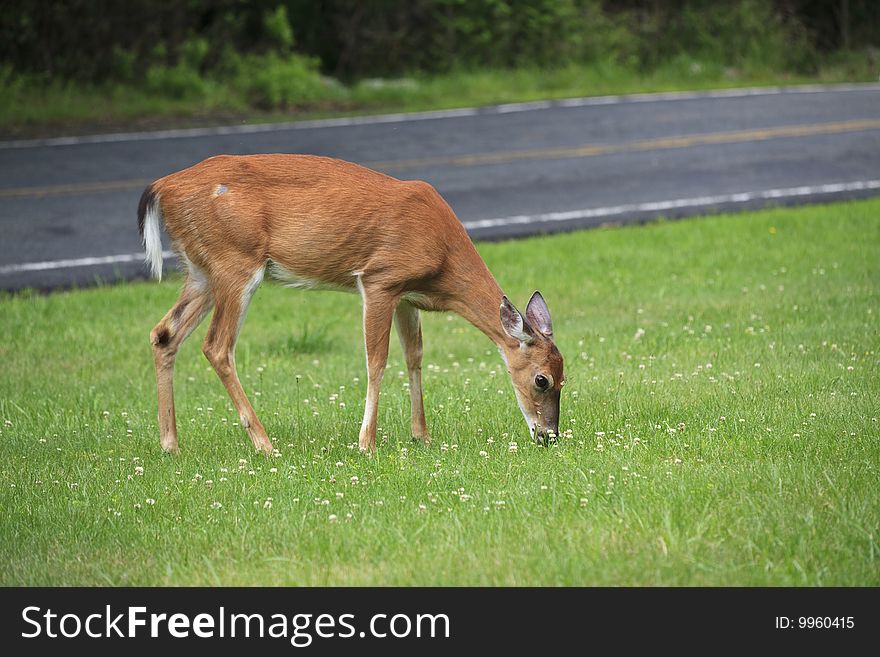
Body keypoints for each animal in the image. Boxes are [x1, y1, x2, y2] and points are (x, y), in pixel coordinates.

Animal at [138, 154, 564, 454]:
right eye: (541, 380)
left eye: (564, 377)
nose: (550, 435)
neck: (443, 259)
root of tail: (161, 187)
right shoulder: (380, 279)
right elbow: (377, 360)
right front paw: (366, 443)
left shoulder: (407, 295)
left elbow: (415, 356)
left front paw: (421, 436)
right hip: (234, 261)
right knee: (217, 346)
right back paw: (265, 444)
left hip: (201, 271)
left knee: (164, 333)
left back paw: (170, 444)